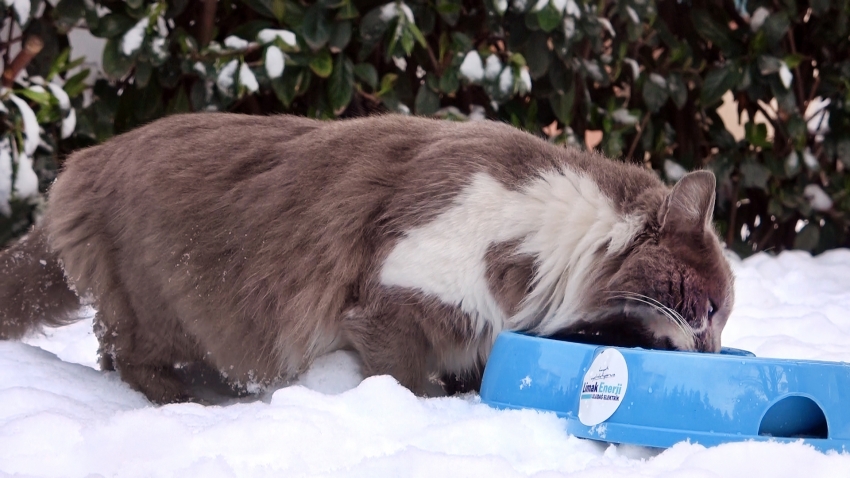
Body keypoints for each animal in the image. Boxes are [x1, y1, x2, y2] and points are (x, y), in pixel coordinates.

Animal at [0, 113, 728, 404]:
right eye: (713, 306)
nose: (720, 352)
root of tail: (81, 165)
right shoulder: (398, 296)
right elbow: (402, 378)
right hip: (162, 304)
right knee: (128, 354)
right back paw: (181, 401)